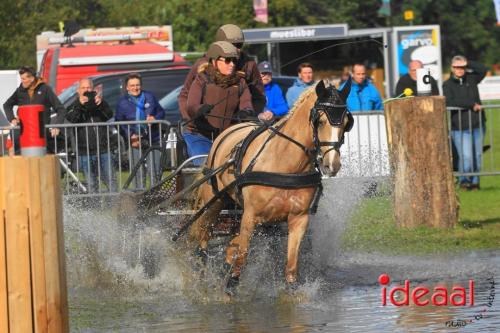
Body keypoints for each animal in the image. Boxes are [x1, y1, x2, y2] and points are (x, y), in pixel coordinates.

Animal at [187, 79, 352, 294]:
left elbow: (291, 267)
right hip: (214, 202)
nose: (332, 164)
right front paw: (230, 288)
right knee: (203, 239)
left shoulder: (299, 219)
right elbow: (242, 256)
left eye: (346, 123)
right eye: (321, 121)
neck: (285, 162)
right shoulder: (250, 216)